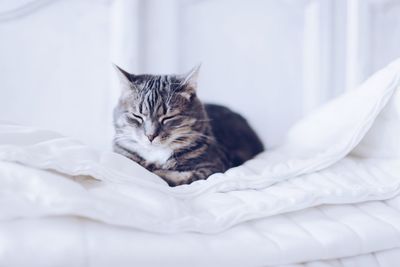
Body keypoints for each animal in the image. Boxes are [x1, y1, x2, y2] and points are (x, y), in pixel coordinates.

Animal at [112, 65, 264, 186]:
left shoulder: (213, 167)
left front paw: (156, 170)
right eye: (137, 116)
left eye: (168, 117)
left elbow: (177, 176)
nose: (150, 135)